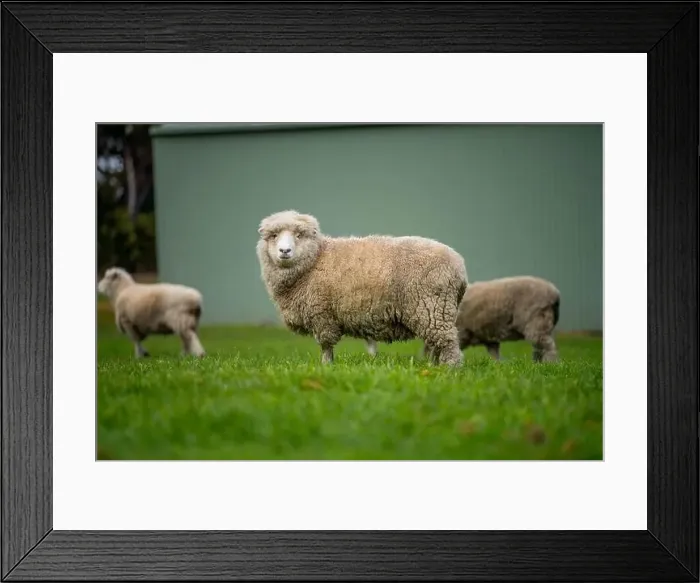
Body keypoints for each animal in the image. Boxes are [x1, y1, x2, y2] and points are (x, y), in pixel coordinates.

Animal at [256, 210, 468, 367]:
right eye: (273, 236)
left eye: (299, 235)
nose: (284, 251)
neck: (316, 258)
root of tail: (459, 265)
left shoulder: (321, 314)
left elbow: (326, 345)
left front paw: (326, 366)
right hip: (437, 310)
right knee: (437, 343)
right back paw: (434, 366)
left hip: (432, 306)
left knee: (448, 342)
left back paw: (449, 369)